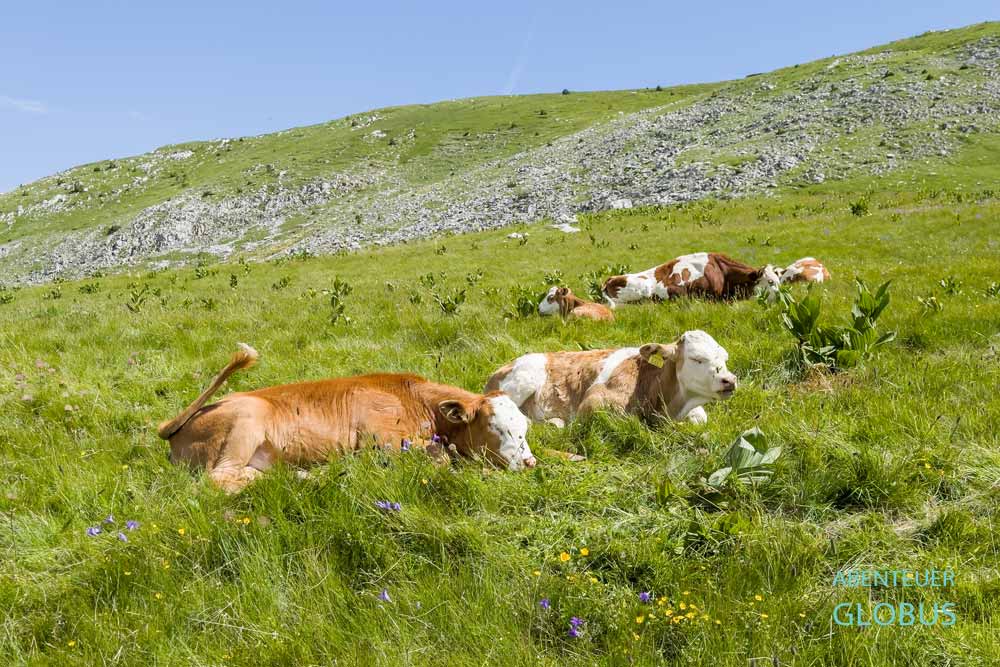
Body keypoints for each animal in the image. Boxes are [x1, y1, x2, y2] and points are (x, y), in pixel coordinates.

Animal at [158, 344, 536, 493]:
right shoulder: (384, 438)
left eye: (525, 427)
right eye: (496, 428)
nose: (530, 462)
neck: (415, 400)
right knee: (219, 479)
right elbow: (442, 460)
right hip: (244, 423)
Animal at [484, 330, 736, 428]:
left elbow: (701, 417)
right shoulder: (591, 404)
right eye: (697, 359)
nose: (729, 380)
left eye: (725, 357)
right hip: (523, 381)